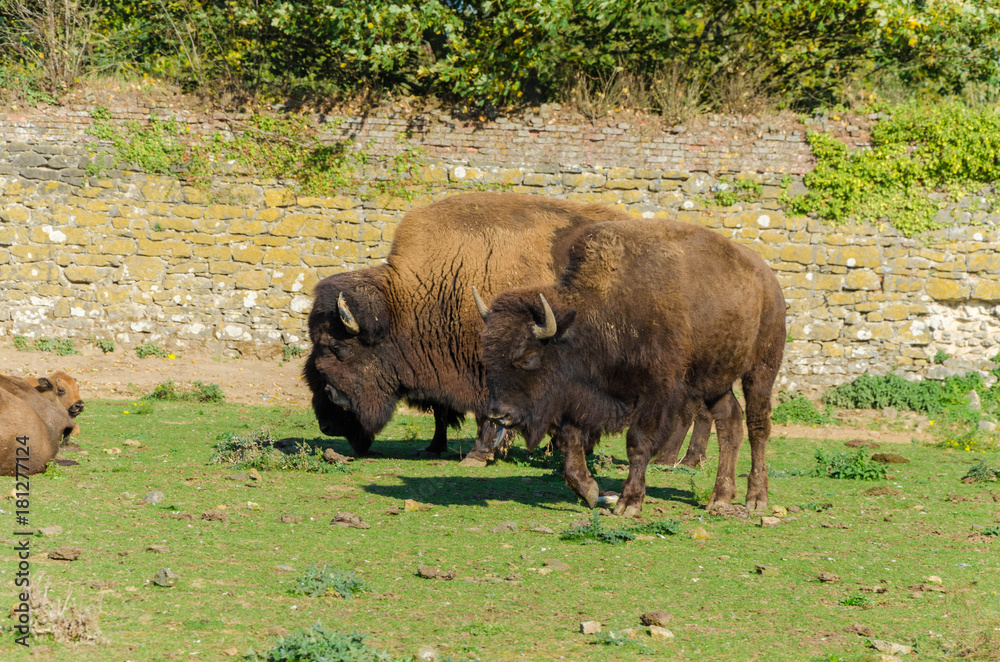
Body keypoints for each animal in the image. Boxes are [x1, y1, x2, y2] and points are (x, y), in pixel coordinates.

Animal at [480, 219, 784, 520]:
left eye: (527, 358)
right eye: (488, 357)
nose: (499, 414)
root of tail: (768, 279)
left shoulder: (657, 394)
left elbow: (638, 443)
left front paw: (629, 503)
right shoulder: (578, 397)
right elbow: (571, 438)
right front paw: (589, 491)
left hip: (762, 369)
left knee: (758, 426)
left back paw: (756, 498)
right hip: (714, 381)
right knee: (729, 422)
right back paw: (720, 497)